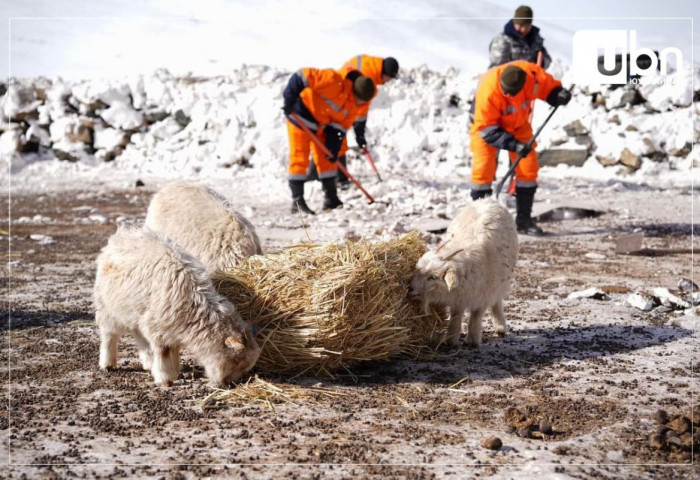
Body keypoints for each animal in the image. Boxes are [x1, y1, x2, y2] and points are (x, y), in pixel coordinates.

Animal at [94, 224, 262, 386]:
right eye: (236, 360)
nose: (229, 384)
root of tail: (120, 236)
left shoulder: (172, 325)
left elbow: (174, 348)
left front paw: (175, 369)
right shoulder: (157, 327)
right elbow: (163, 351)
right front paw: (165, 378)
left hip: (136, 311)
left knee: (138, 335)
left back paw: (148, 363)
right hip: (107, 307)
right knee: (109, 334)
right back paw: (108, 363)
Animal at [408, 197, 516, 346]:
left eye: (432, 277)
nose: (410, 288)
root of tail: (487, 199)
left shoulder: (482, 295)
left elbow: (476, 315)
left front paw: (472, 339)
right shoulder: (458, 296)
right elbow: (455, 315)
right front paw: (450, 339)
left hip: (501, 282)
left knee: (497, 301)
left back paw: (500, 327)